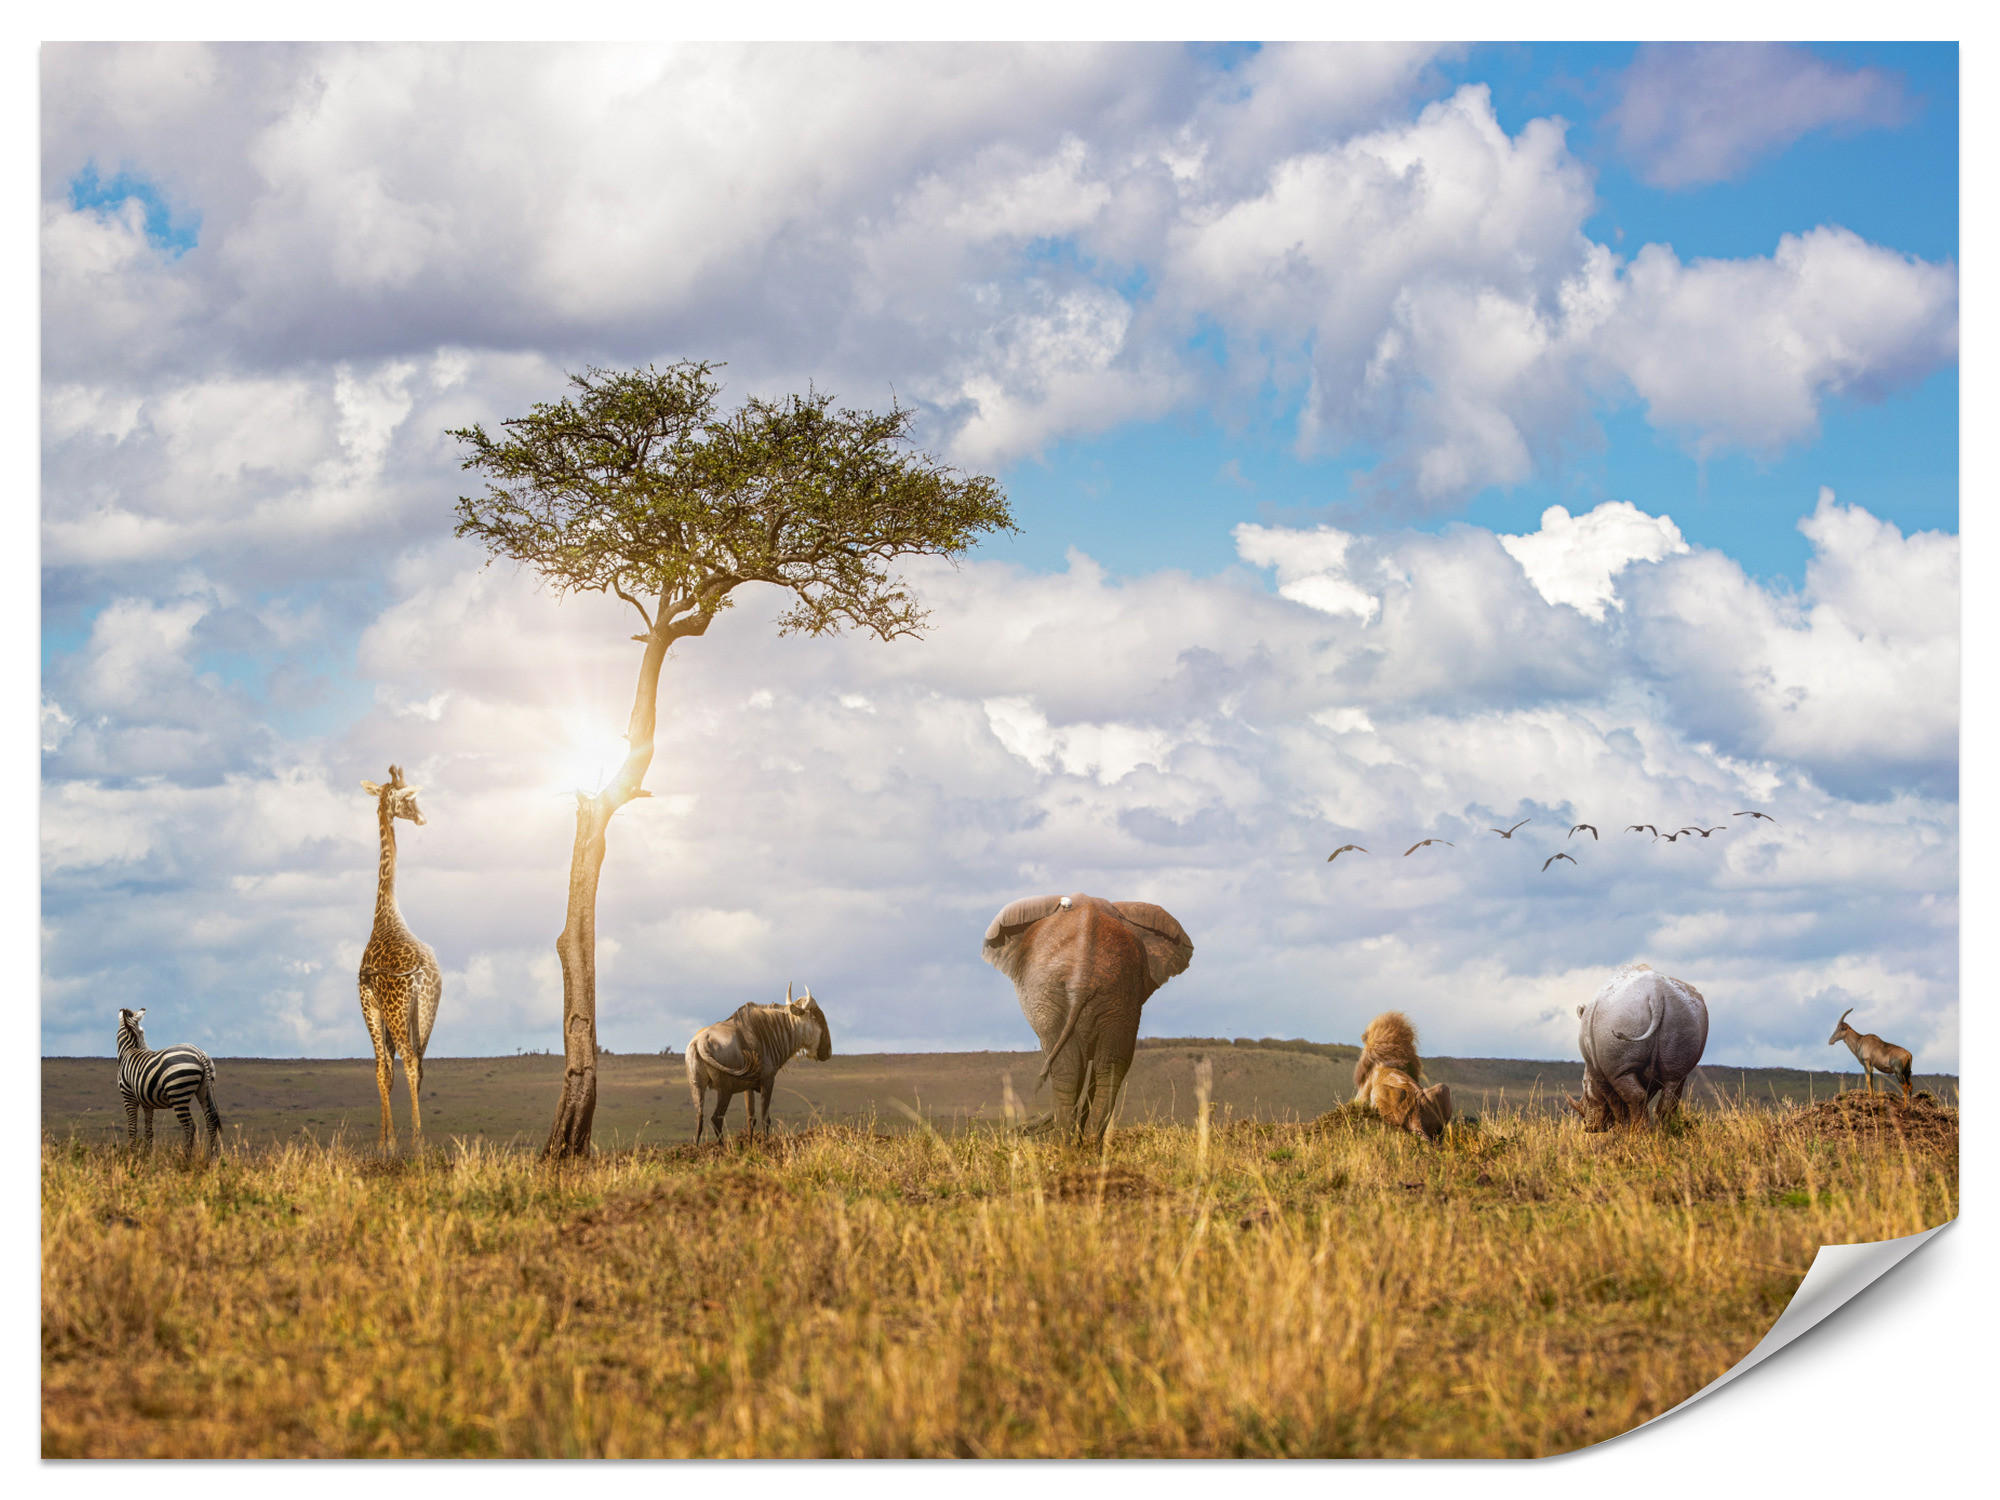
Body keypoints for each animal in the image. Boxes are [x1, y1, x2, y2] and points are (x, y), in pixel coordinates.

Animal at [979, 892, 1194, 1143]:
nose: (1018, 1131)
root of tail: (1083, 975)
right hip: (1110, 996)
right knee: (1106, 1065)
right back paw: (1086, 1146)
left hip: (1084, 997)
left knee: (1079, 1067)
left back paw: (1070, 1146)